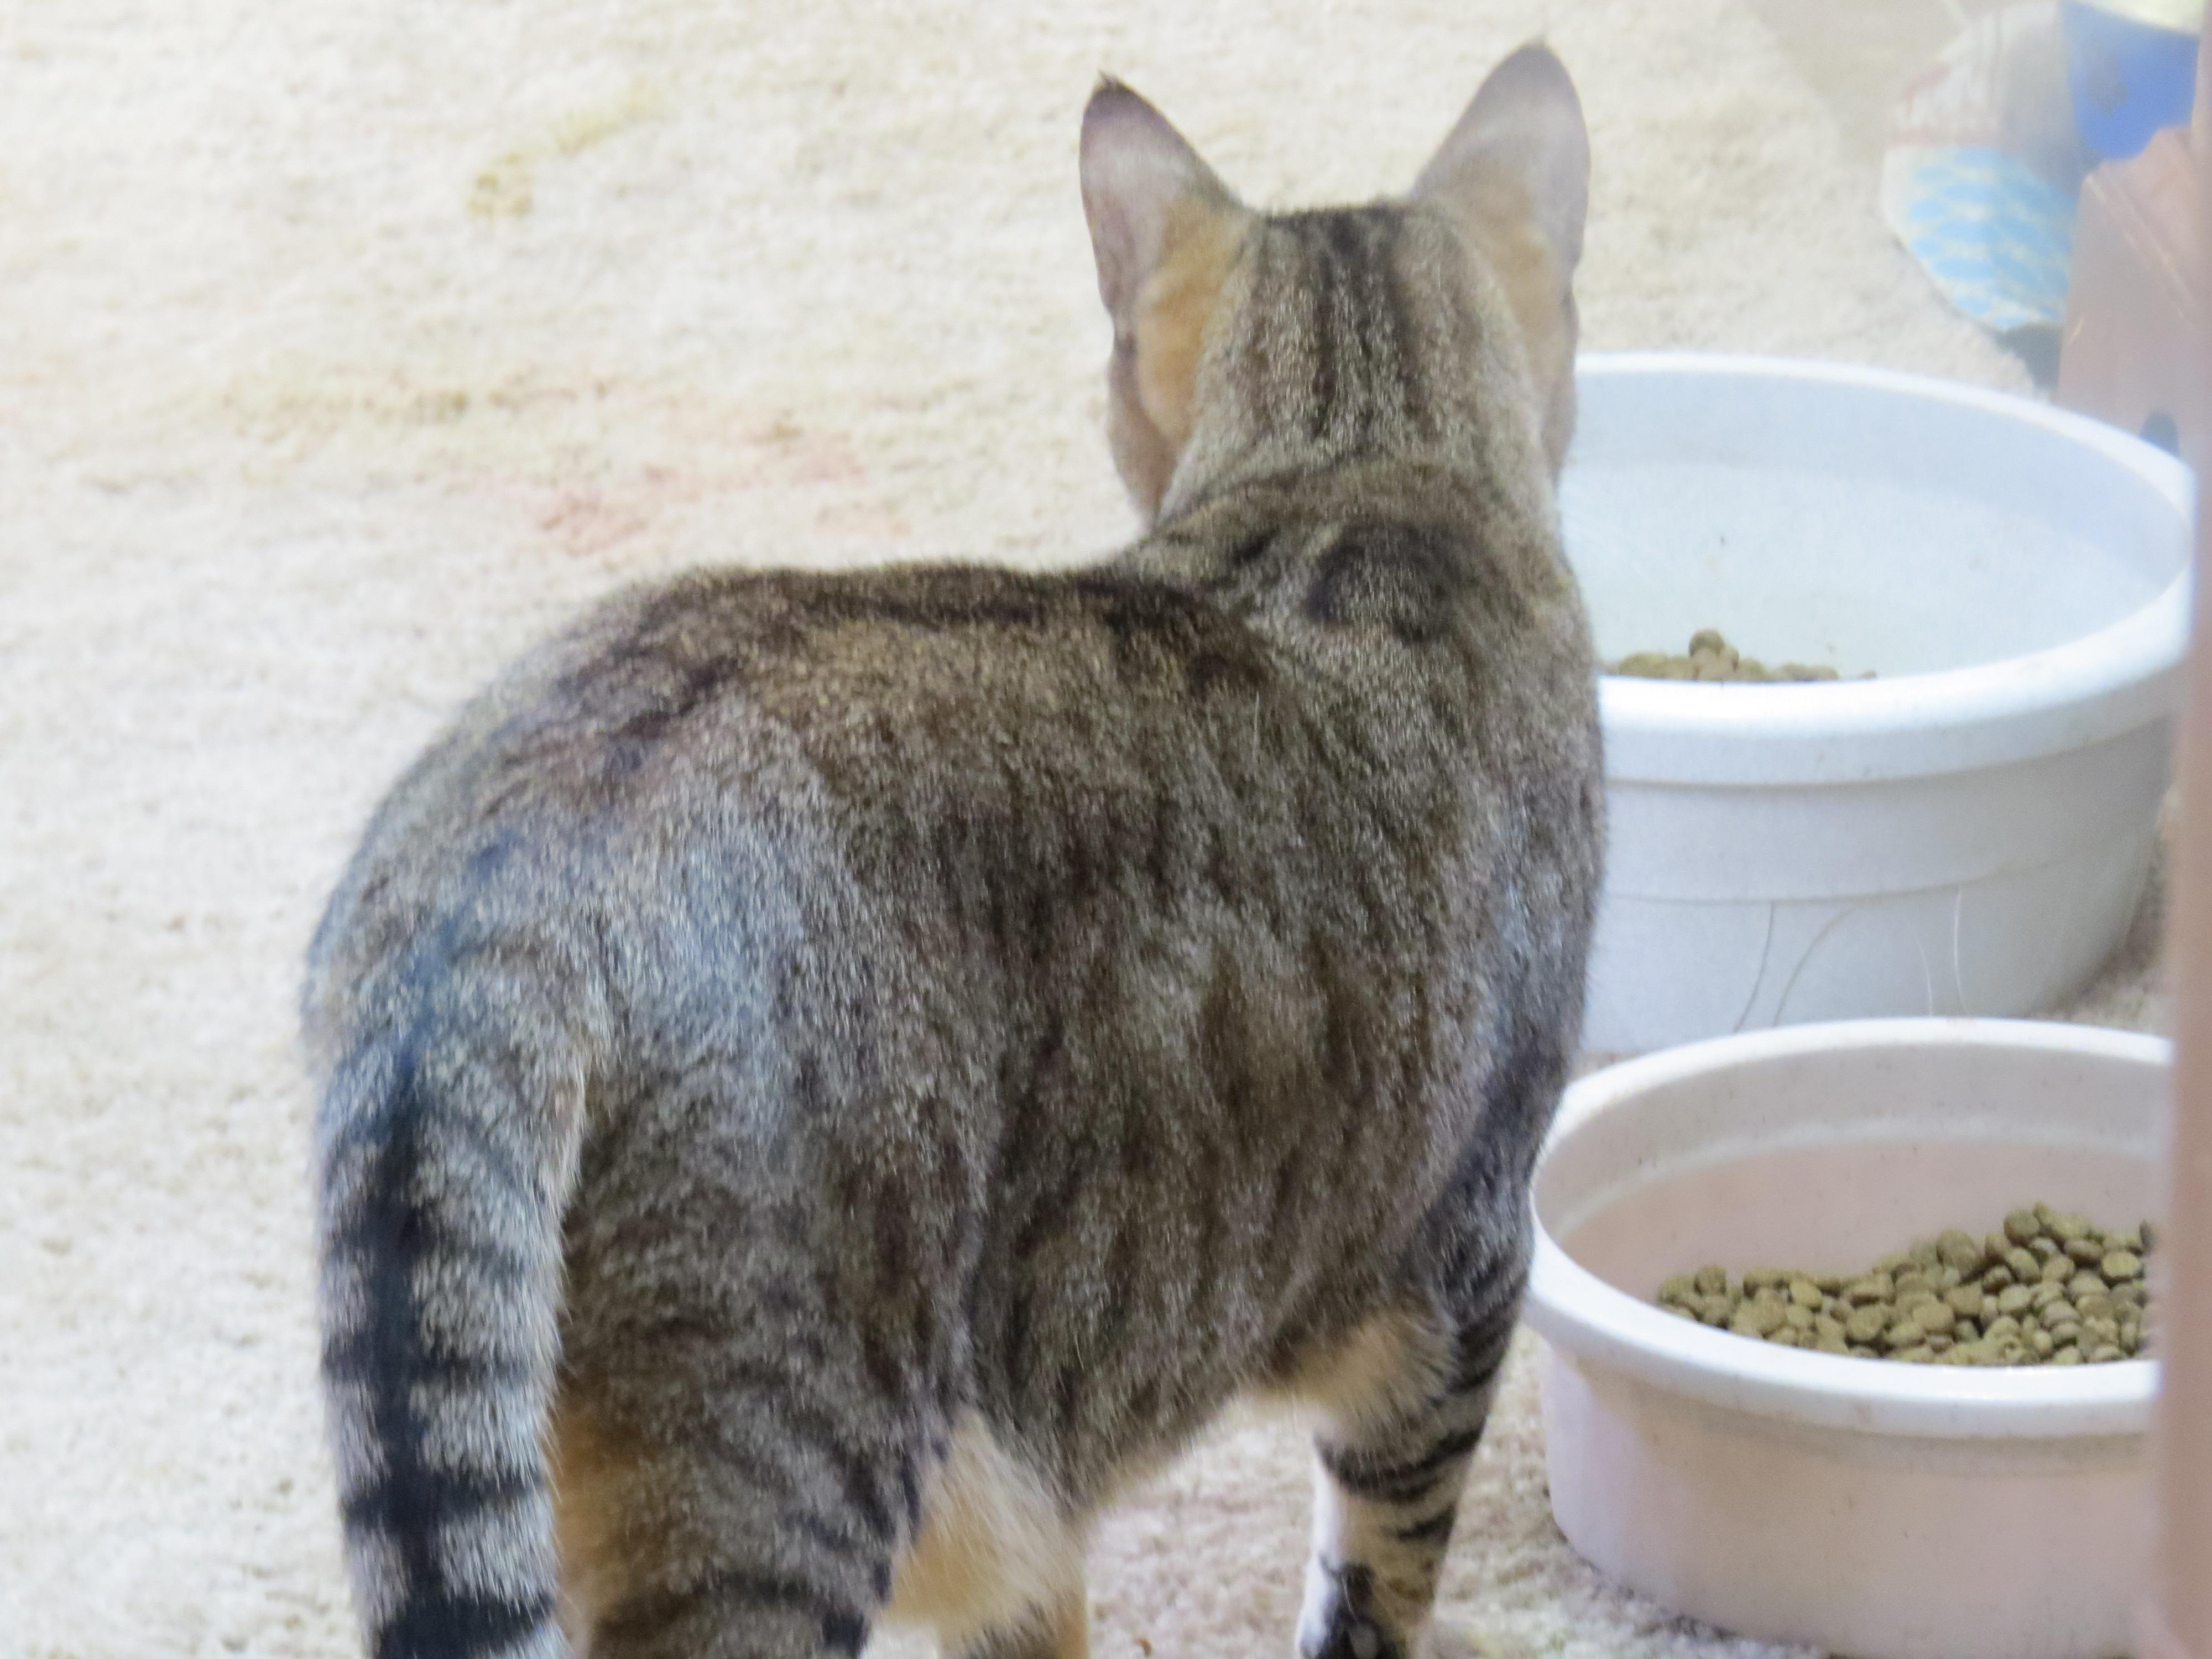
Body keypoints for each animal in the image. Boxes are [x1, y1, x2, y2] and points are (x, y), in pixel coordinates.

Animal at [303, 45, 1601, 1659]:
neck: (1360, 460)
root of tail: (522, 859)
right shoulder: (1463, 1283)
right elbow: (1371, 1590)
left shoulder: (1016, 1509)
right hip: (779, 1479)